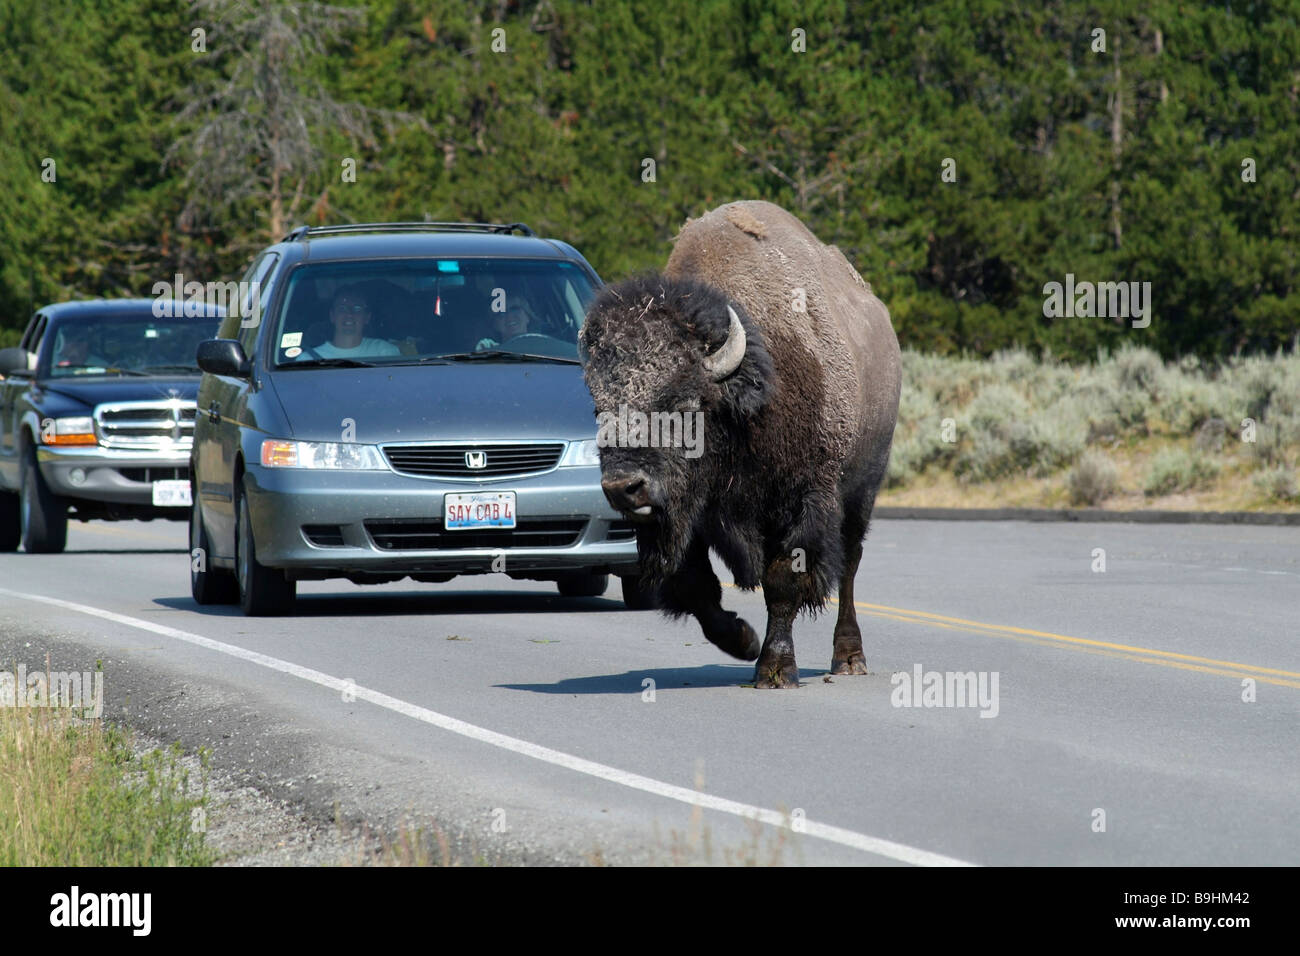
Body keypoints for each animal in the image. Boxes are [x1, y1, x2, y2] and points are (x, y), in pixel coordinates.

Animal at [582, 200, 899, 686]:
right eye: (599, 408)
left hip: (862, 490)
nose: (623, 488)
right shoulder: (685, 516)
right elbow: (695, 585)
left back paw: (849, 658)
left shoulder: (803, 504)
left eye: (683, 402)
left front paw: (775, 669)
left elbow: (783, 581)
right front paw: (744, 640)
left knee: (849, 564)